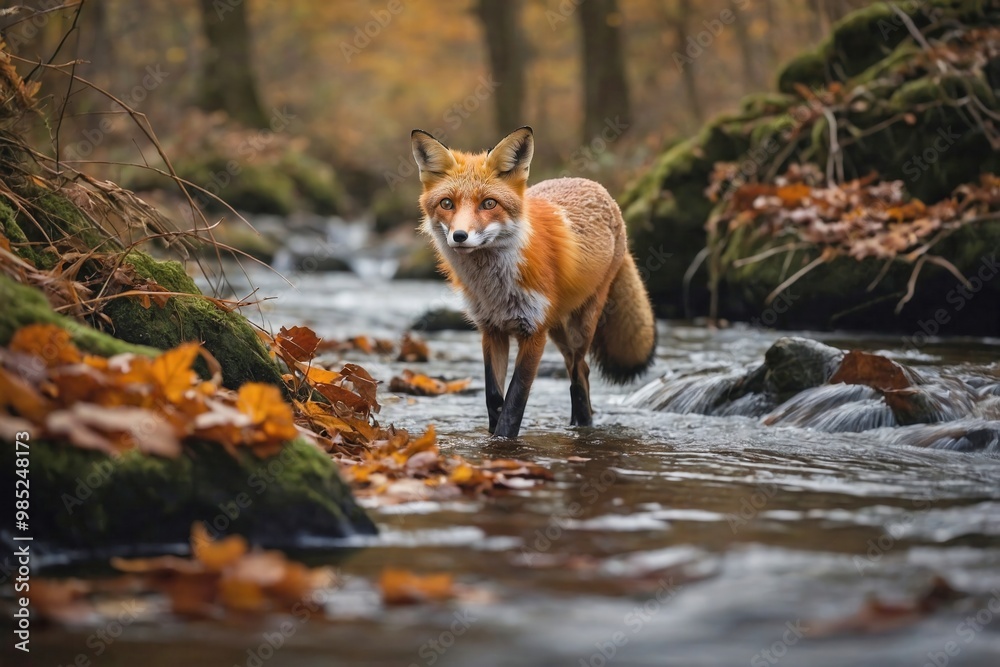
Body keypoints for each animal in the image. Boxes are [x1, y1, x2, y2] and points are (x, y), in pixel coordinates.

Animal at [410, 126, 657, 438]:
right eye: (446, 204)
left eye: (489, 203)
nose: (460, 236)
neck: (494, 289)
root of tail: (599, 188)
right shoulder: (492, 330)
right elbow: (494, 396)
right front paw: (492, 433)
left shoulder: (533, 332)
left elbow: (516, 399)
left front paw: (503, 439)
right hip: (558, 330)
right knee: (580, 371)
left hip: (581, 326)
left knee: (579, 372)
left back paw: (583, 423)